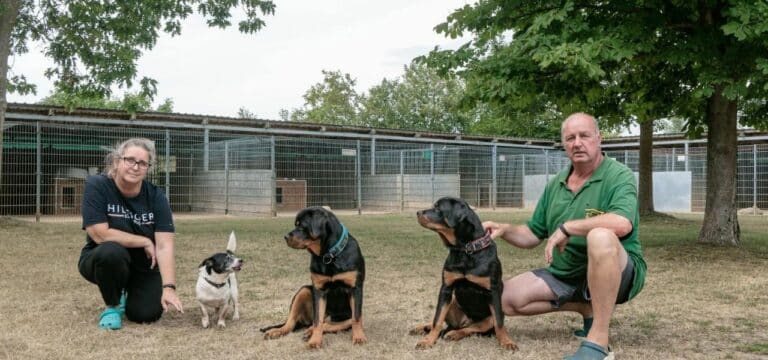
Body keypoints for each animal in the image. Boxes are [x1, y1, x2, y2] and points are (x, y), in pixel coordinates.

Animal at [260, 208, 366, 348]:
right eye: (296, 224)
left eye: (301, 225)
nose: (285, 237)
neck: (328, 255)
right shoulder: (318, 290)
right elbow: (317, 320)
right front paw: (315, 341)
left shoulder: (355, 288)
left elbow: (357, 318)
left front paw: (359, 337)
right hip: (304, 290)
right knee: (292, 322)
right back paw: (277, 331)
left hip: (344, 317)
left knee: (335, 323)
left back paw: (308, 331)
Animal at [412, 197, 520, 352]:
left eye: (438, 208)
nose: (417, 212)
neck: (465, 249)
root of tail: (464, 321)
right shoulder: (446, 289)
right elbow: (437, 319)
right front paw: (428, 340)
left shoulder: (493, 291)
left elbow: (499, 322)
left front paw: (507, 341)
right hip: (452, 302)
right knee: (445, 324)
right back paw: (423, 328)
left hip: (487, 319)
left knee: (470, 328)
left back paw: (454, 334)